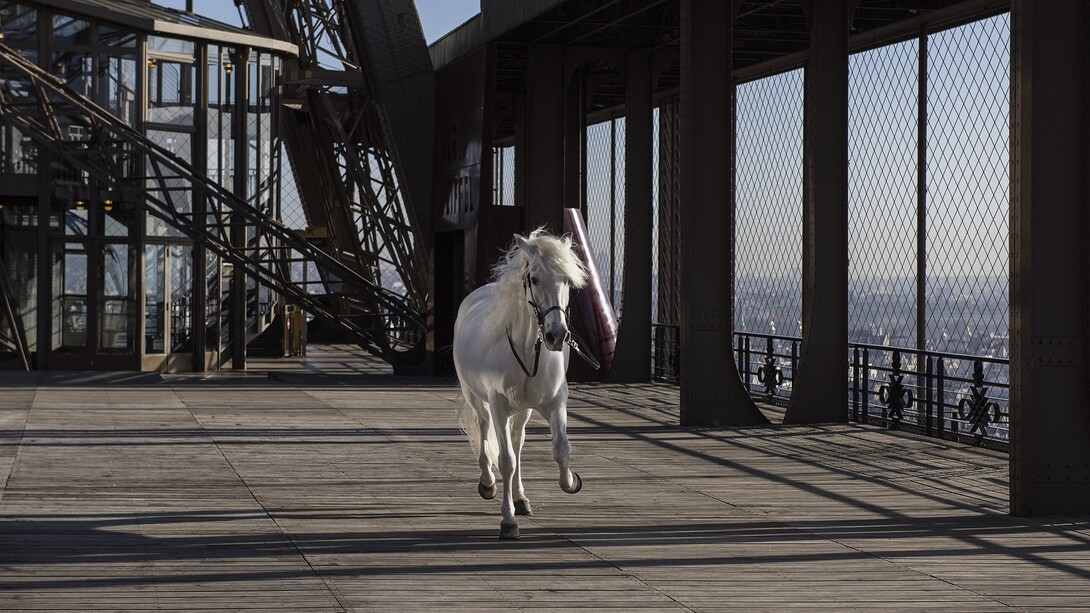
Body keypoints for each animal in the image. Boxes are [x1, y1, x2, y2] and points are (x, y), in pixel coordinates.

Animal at [453, 228, 589, 540]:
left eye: (567, 280)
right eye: (534, 279)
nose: (556, 336)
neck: (528, 351)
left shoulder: (555, 403)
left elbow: (561, 449)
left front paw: (571, 481)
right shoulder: (499, 405)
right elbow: (505, 461)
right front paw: (508, 521)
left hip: (523, 410)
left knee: (517, 442)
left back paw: (521, 499)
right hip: (475, 396)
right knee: (485, 430)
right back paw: (488, 484)